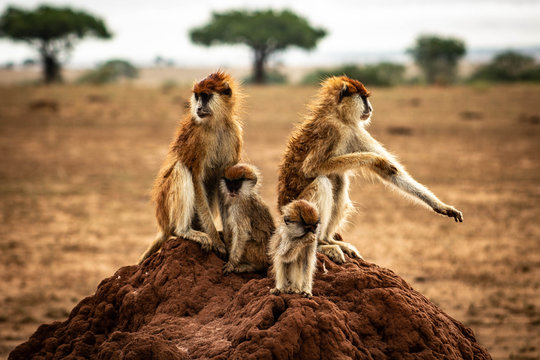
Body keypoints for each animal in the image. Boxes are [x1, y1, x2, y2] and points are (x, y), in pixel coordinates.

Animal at [139, 71, 243, 264]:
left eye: (206, 96)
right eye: (197, 96)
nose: (199, 108)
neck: (217, 124)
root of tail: (162, 225)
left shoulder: (235, 134)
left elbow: (225, 182)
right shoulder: (198, 139)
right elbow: (195, 178)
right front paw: (216, 241)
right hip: (165, 207)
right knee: (181, 169)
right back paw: (183, 231)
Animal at [278, 74, 464, 264]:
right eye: (363, 98)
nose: (371, 109)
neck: (338, 115)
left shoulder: (353, 130)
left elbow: (392, 174)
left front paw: (442, 207)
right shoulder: (332, 129)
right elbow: (311, 168)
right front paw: (375, 159)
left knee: (339, 179)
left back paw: (328, 240)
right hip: (296, 210)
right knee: (324, 181)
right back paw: (321, 245)